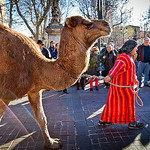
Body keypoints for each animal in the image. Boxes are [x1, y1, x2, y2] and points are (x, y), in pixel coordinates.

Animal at [0, 15, 110, 148]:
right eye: (87, 23)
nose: (107, 25)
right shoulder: (5, 95)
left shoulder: (34, 90)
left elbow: (42, 118)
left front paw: (52, 143)